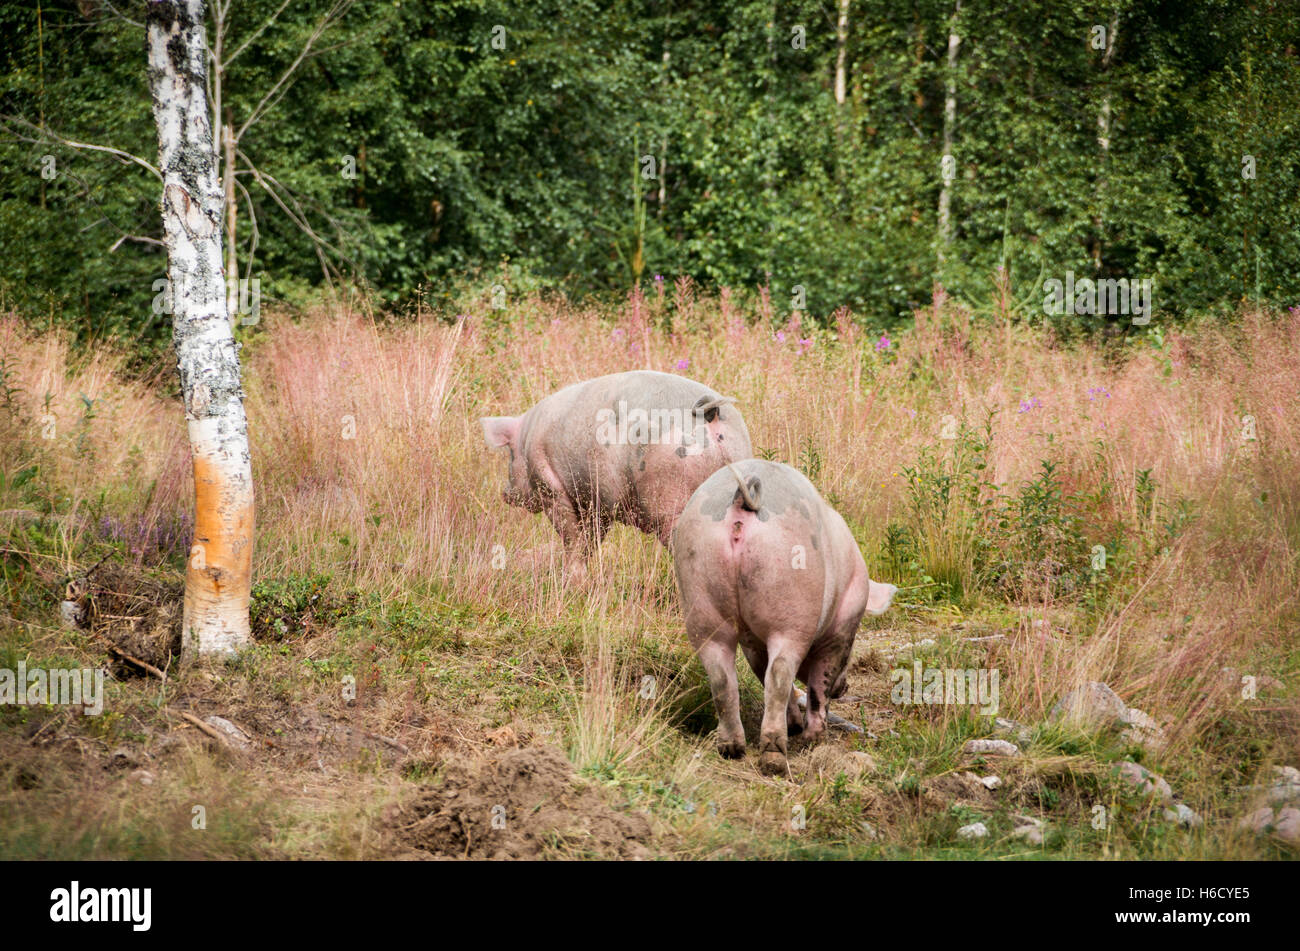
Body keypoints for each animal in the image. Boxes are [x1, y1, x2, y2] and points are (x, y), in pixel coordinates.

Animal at [483, 371, 754, 563]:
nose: (505, 494)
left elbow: (570, 537)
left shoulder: (553, 489)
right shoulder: (596, 503)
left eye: (509, 454)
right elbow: (590, 540)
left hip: (670, 496)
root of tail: (710, 412)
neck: (526, 439)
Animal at [670, 457, 894, 774]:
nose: (845, 687)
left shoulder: (752, 642)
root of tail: (740, 501)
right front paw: (813, 739)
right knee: (779, 674)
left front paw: (797, 727)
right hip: (791, 608)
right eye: (854, 649)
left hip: (699, 595)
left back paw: (731, 749)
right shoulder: (840, 631)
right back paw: (775, 757)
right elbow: (818, 684)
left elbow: (762, 672)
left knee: (722, 676)